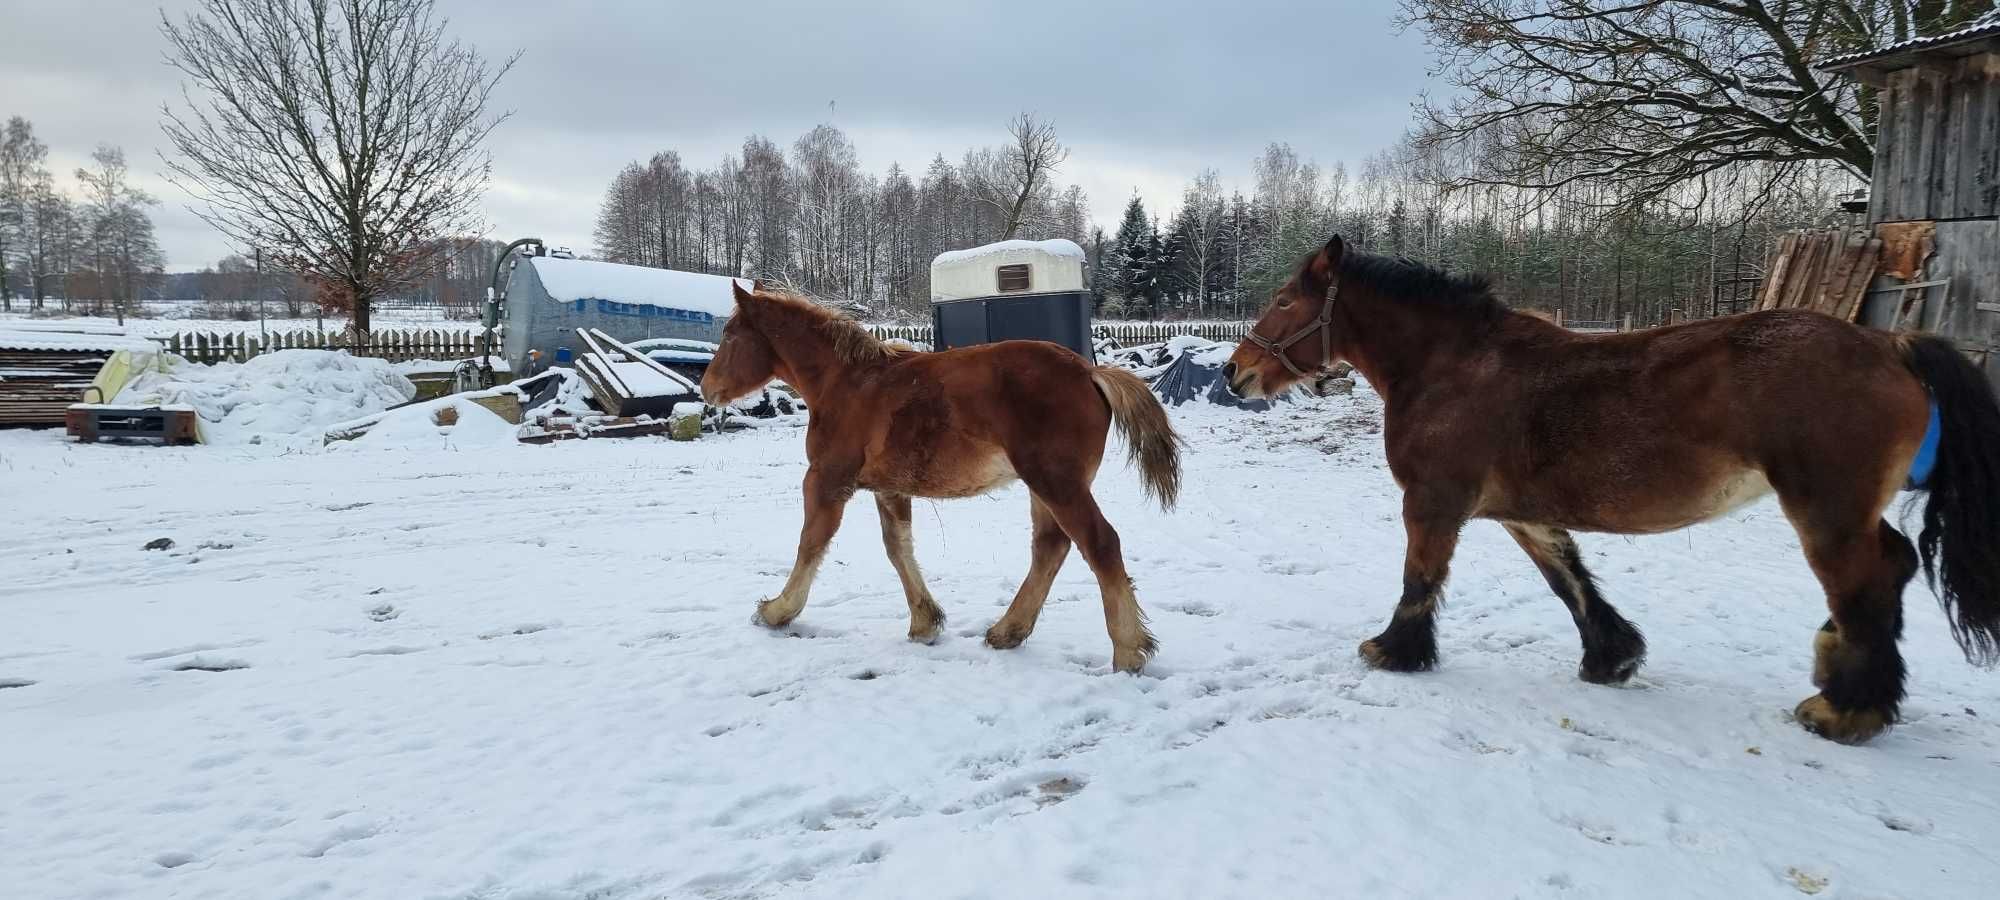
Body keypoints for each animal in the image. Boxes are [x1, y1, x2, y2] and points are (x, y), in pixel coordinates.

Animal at [700, 284, 1176, 672]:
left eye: (729, 334)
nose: (705, 389)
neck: (847, 384)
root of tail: (1090, 371)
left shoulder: (826, 481)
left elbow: (810, 544)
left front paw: (777, 611)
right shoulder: (889, 489)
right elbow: (898, 548)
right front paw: (925, 622)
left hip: (1056, 482)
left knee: (1099, 544)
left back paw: (1128, 651)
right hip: (1044, 486)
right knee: (1050, 546)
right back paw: (1007, 632)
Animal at [1216, 236, 2000, 740]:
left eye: (1284, 300)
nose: (1234, 372)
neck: (1452, 366)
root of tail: (1891, 346)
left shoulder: (1433, 503)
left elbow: (1420, 580)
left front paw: (1393, 652)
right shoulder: (1519, 514)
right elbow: (1569, 579)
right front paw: (1611, 656)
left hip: (1827, 513)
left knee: (1867, 582)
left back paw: (1846, 710)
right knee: (1893, 565)